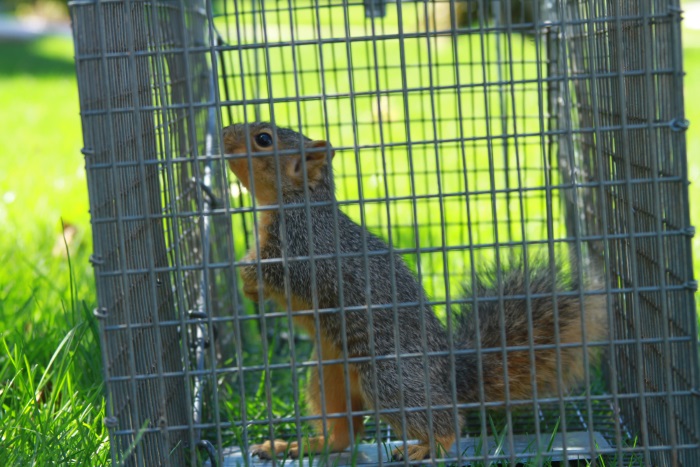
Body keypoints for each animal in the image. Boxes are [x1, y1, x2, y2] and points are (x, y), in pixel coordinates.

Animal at [223, 122, 608, 462]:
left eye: (263, 139)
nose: (224, 133)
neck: (296, 202)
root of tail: (449, 376)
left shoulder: (306, 248)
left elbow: (281, 272)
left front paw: (246, 274)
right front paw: (250, 288)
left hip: (387, 376)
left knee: (444, 419)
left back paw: (428, 446)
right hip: (326, 372)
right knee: (344, 435)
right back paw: (300, 446)